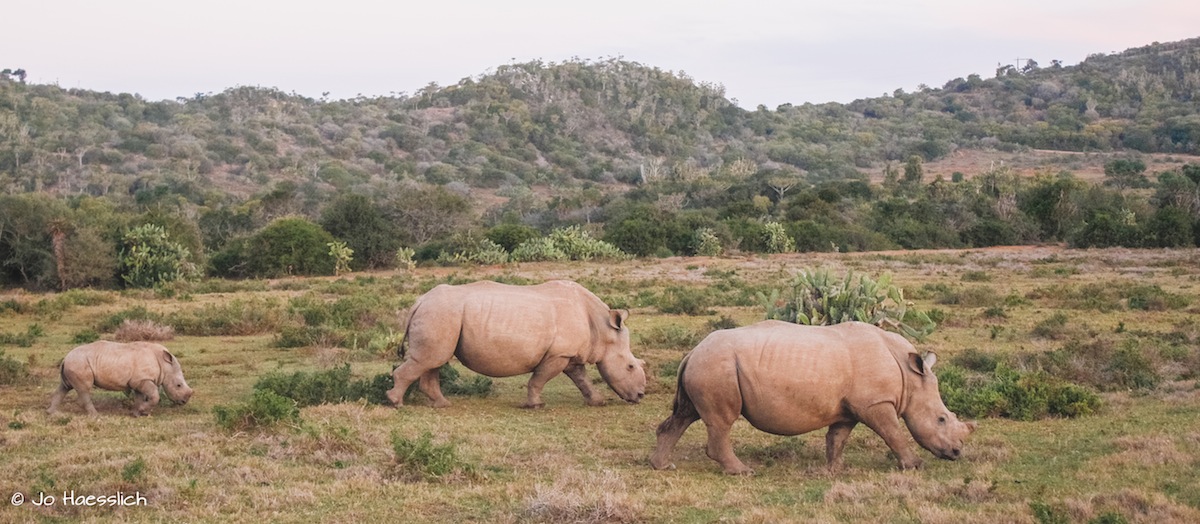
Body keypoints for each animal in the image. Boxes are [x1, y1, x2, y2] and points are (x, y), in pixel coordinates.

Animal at [47, 341, 194, 417]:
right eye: (179, 385)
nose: (184, 402)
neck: (165, 365)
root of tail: (66, 358)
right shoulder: (143, 379)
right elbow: (154, 396)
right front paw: (143, 411)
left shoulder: (138, 381)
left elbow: (139, 396)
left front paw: (137, 413)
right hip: (78, 363)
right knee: (84, 389)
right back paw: (95, 415)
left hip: (74, 363)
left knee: (64, 387)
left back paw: (52, 413)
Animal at [385, 280, 646, 408]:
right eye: (630, 366)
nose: (641, 395)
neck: (602, 329)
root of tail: (419, 301)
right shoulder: (558, 354)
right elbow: (539, 379)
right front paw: (536, 405)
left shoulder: (568, 355)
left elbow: (581, 379)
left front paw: (597, 402)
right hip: (440, 313)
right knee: (430, 359)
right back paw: (396, 403)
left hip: (440, 315)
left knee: (434, 360)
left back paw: (442, 405)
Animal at [650, 321, 975, 474]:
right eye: (942, 419)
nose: (957, 452)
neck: (910, 378)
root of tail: (692, 351)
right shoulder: (876, 403)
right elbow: (893, 434)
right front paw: (915, 466)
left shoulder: (851, 408)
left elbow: (838, 437)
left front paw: (834, 469)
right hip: (717, 366)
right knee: (721, 421)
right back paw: (743, 472)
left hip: (707, 365)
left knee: (685, 414)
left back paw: (663, 466)